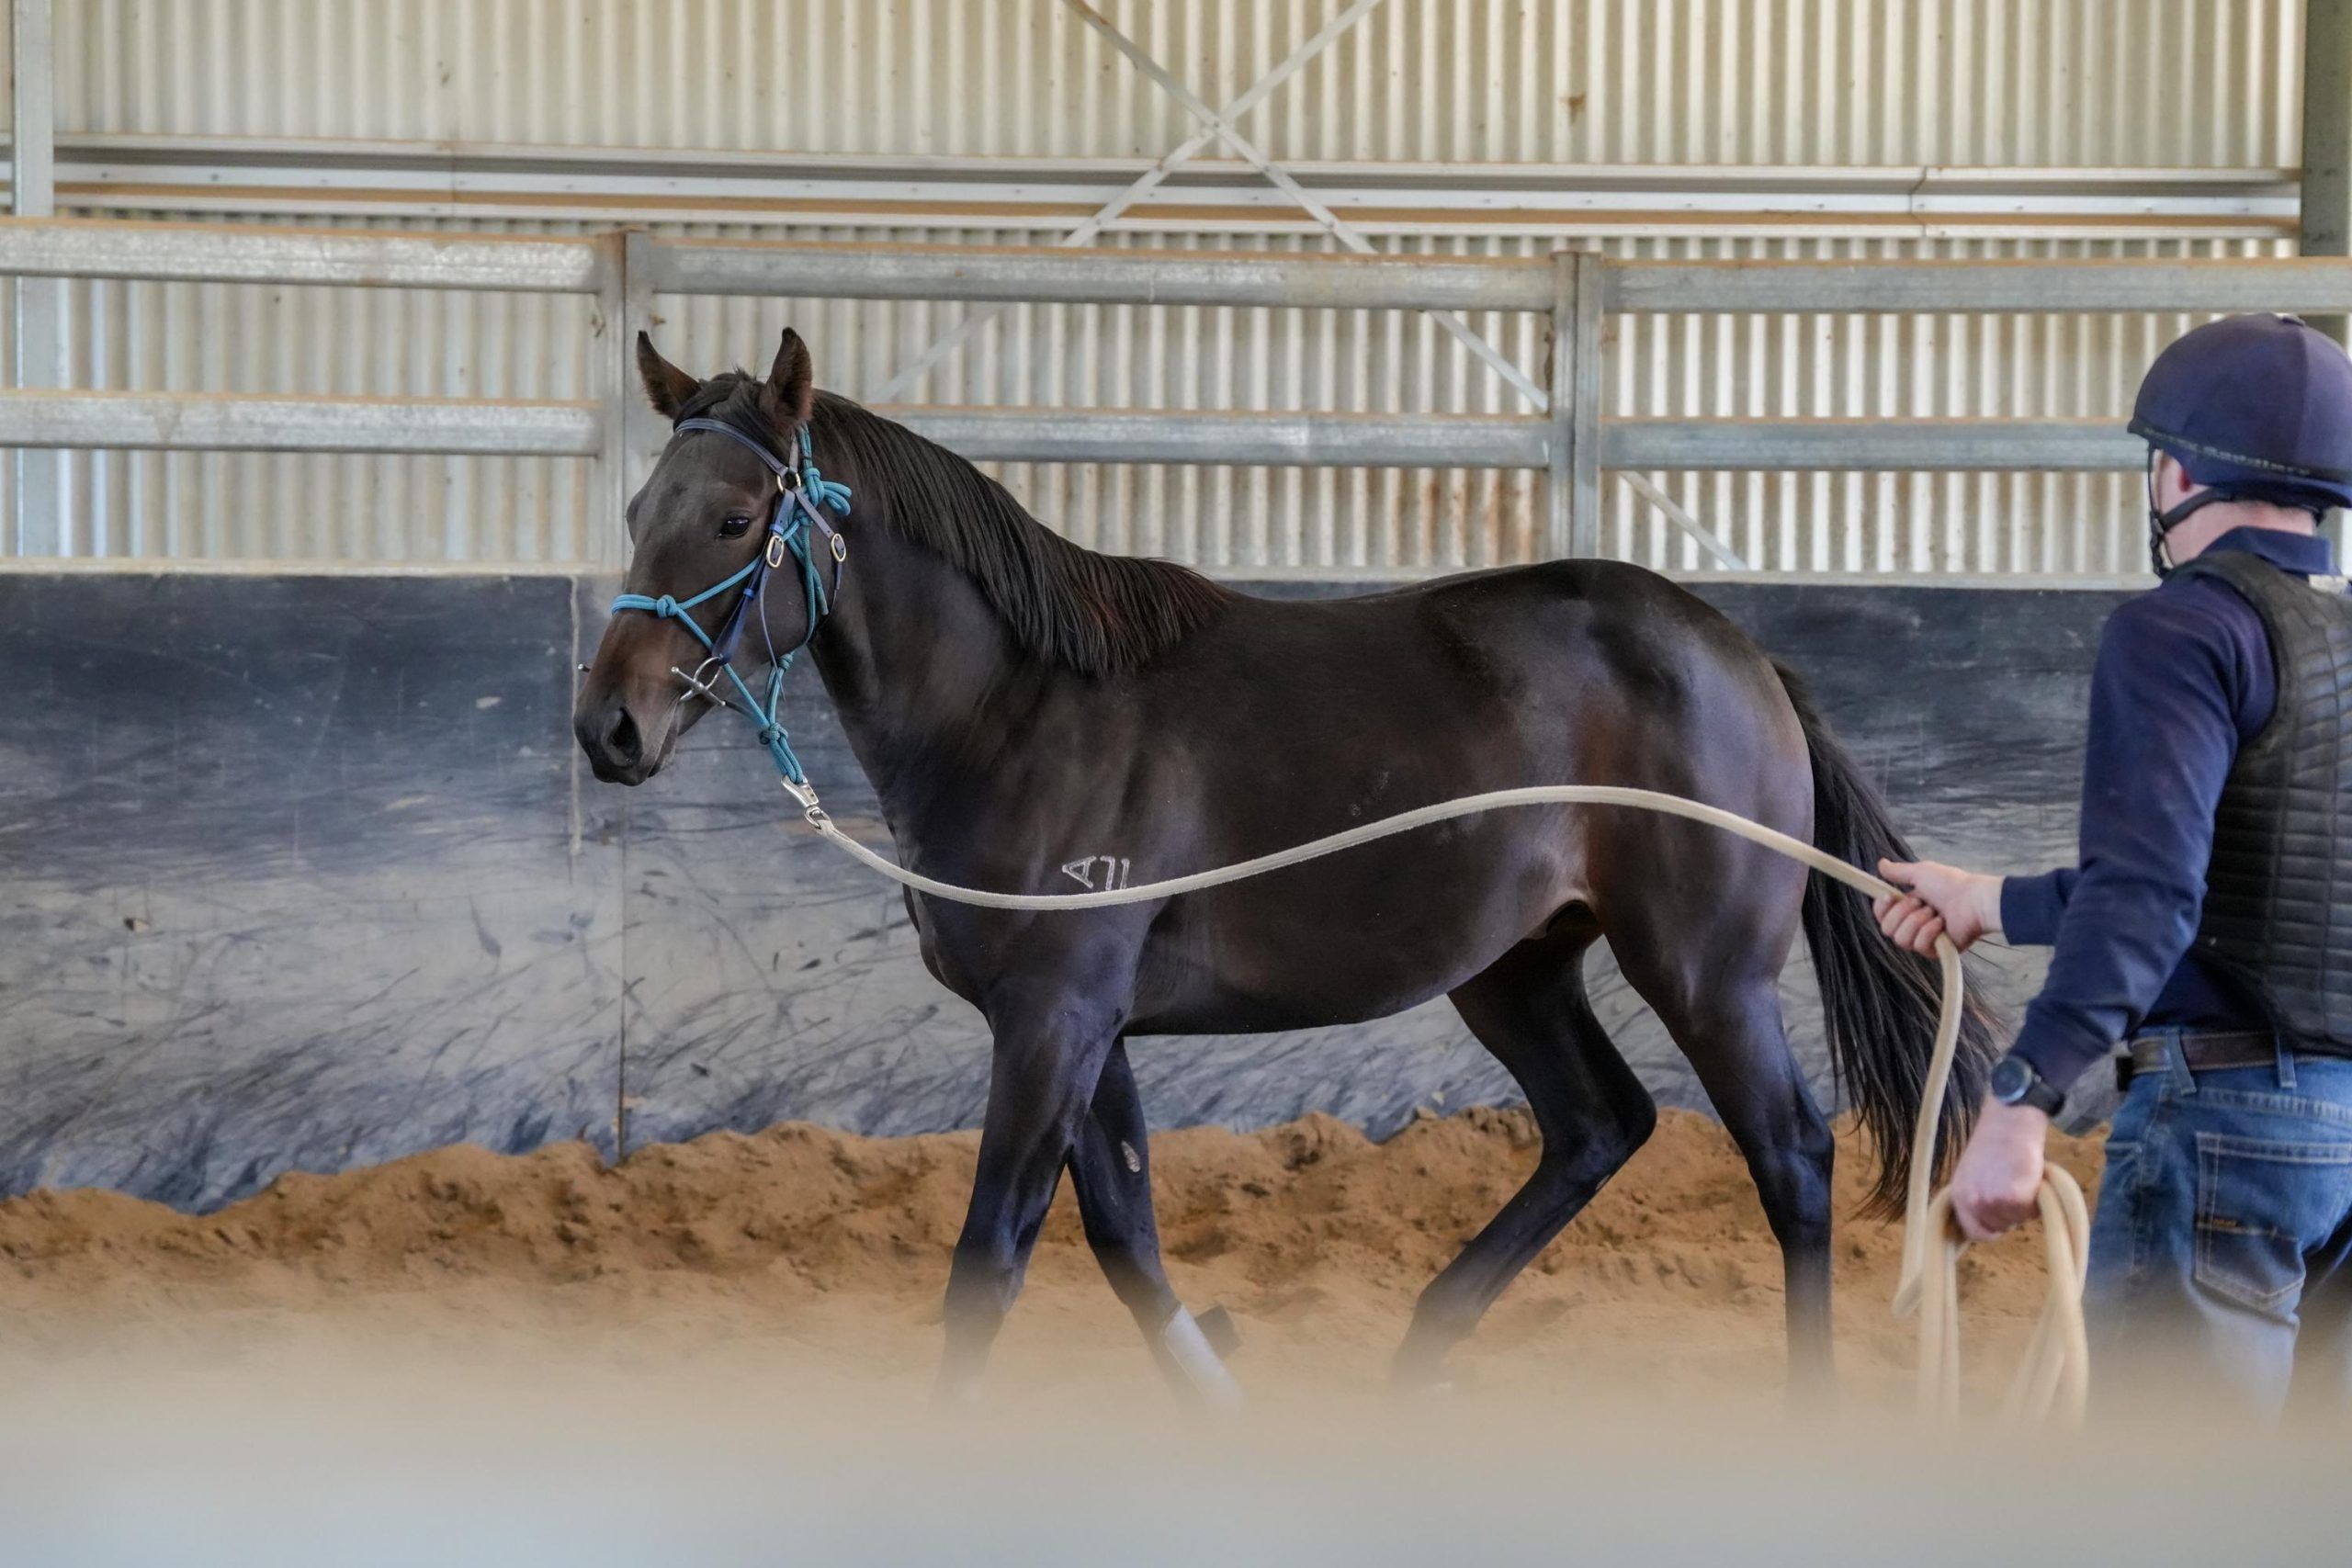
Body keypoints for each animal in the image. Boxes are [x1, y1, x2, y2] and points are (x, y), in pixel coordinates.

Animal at [574, 327, 1996, 1402]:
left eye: (736, 517)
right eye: (639, 512)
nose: (609, 728)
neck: (1019, 711)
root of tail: (1741, 653)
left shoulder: (1052, 1019)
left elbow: (991, 1262)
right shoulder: (1089, 1030)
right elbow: (1125, 1237)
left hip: (1705, 973)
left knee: (1790, 1156)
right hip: (1514, 971)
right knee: (1601, 1123)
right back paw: (1419, 1350)